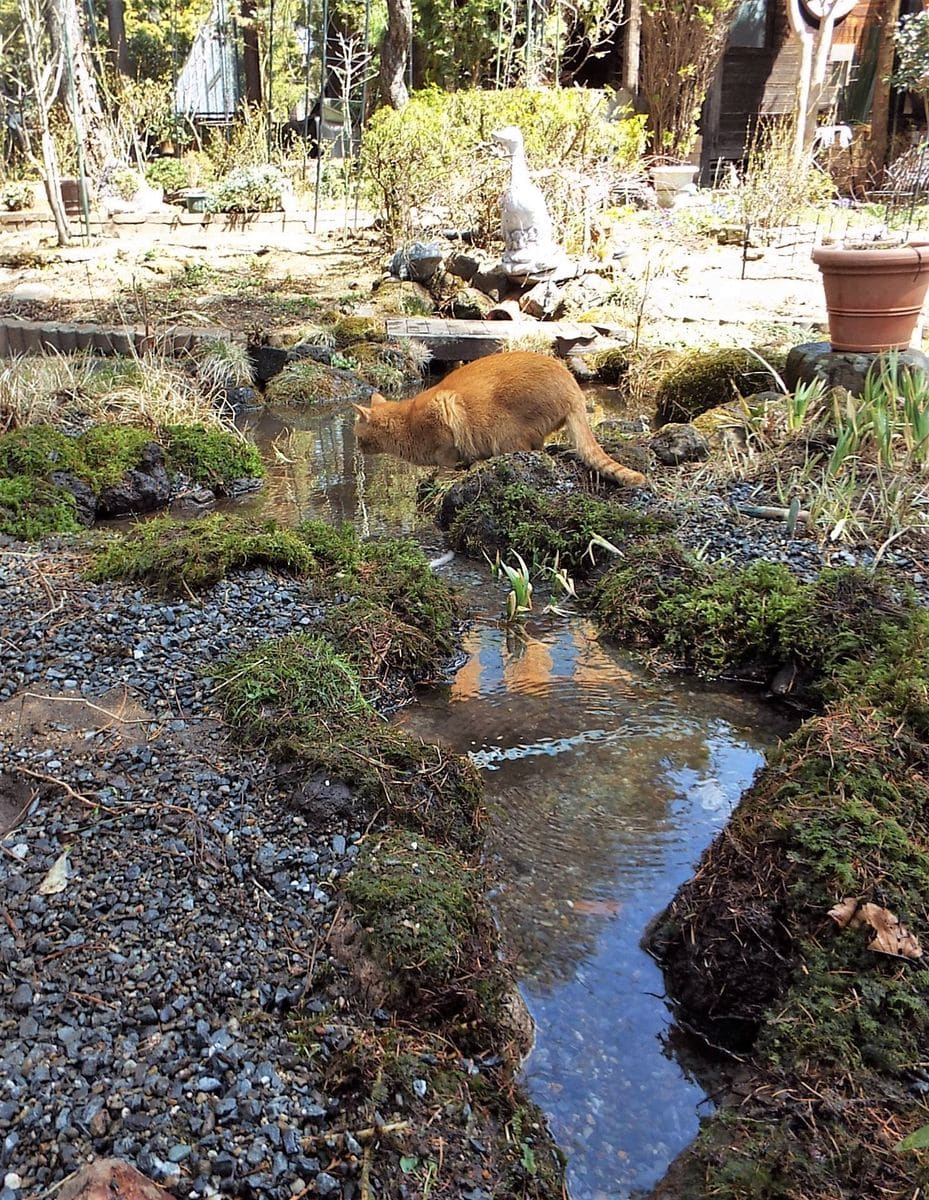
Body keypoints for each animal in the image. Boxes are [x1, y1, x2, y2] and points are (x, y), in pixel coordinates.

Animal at [352, 348, 652, 487]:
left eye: (356, 434)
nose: (356, 447)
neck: (407, 422)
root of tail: (573, 387)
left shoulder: (447, 410)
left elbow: (446, 463)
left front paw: (442, 478)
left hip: (507, 433)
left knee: (531, 451)